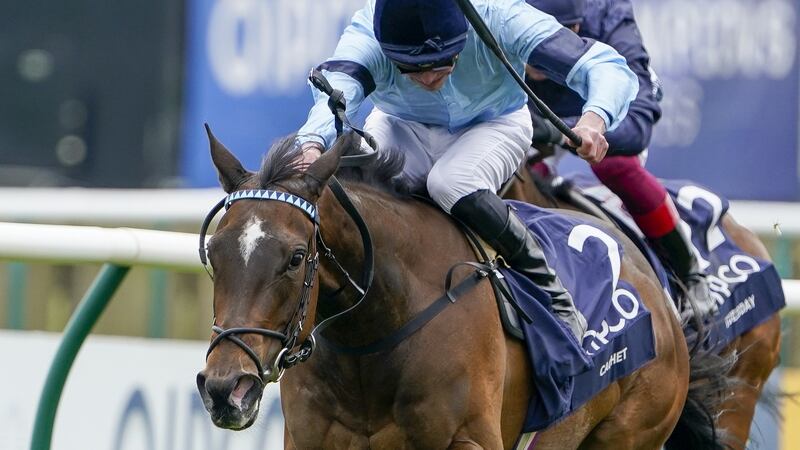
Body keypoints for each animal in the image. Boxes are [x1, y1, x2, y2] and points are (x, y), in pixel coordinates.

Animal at [197, 128, 708, 448]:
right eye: (213, 253)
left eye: (296, 257)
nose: (225, 388)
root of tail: (658, 288)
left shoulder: (470, 439)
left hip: (633, 428)